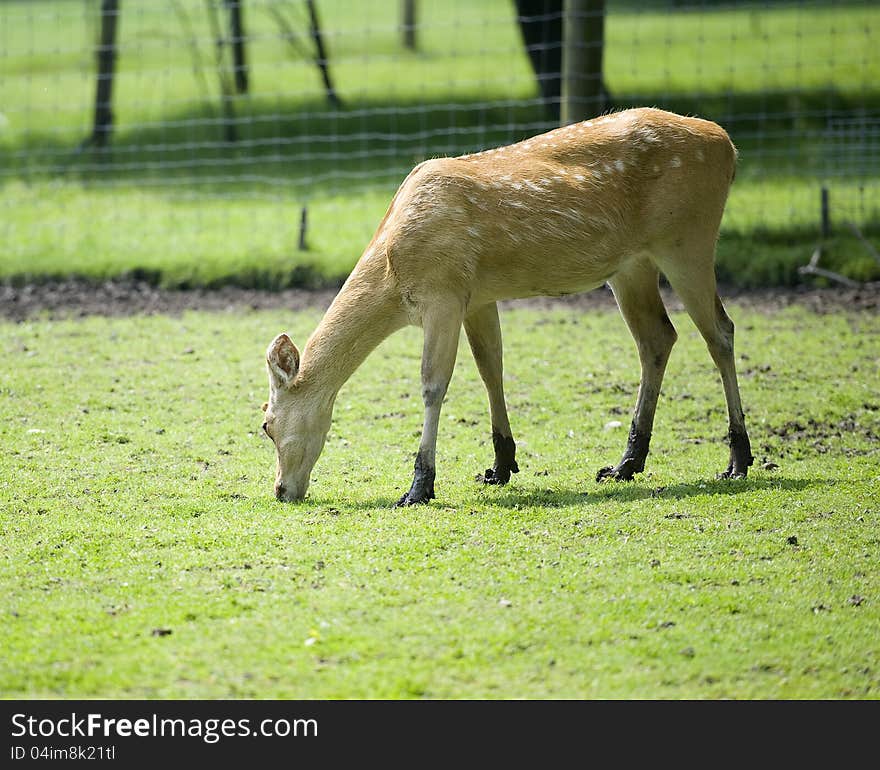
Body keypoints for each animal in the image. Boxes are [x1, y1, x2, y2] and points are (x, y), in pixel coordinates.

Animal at [258, 108, 752, 504]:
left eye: (265, 424)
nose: (282, 491)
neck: (393, 275)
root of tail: (728, 146)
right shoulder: (477, 297)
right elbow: (489, 368)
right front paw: (500, 466)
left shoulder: (443, 293)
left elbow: (433, 384)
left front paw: (419, 487)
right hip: (631, 266)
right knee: (658, 337)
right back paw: (625, 464)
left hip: (688, 239)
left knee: (720, 331)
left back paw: (738, 459)